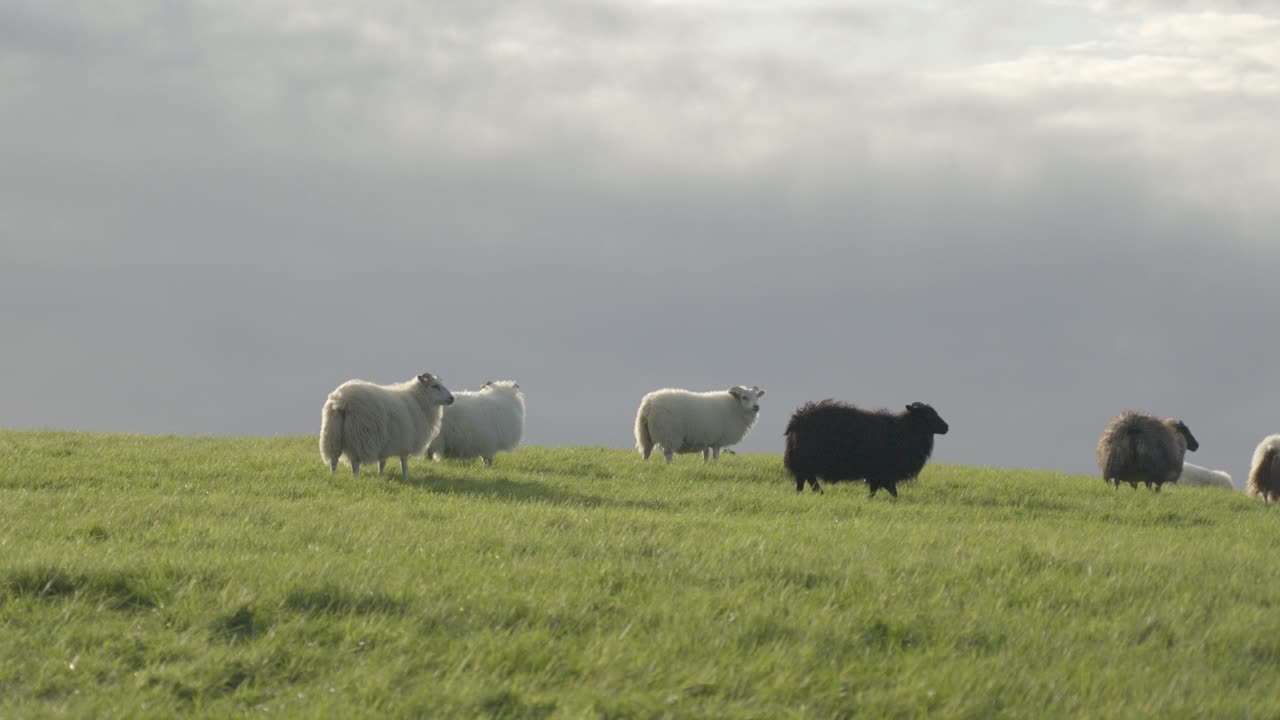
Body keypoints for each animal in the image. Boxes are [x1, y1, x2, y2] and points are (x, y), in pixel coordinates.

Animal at [319, 372, 455, 479]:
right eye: (435, 386)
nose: (452, 398)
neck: (418, 400)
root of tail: (342, 399)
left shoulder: (385, 443)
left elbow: (382, 462)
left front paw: (380, 475)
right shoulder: (405, 441)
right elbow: (404, 463)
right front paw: (405, 478)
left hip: (333, 435)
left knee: (334, 460)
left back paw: (333, 476)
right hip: (358, 437)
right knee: (355, 463)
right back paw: (355, 478)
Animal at [634, 386, 765, 464]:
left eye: (757, 396)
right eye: (744, 397)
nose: (756, 407)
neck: (735, 407)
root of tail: (649, 402)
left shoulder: (705, 439)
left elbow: (705, 455)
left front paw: (704, 465)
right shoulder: (717, 440)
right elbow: (715, 455)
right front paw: (715, 466)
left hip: (645, 433)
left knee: (646, 451)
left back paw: (645, 463)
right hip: (669, 434)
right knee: (668, 454)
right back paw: (669, 465)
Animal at [783, 400, 949, 497]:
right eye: (928, 414)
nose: (946, 427)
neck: (905, 430)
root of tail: (797, 419)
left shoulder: (878, 474)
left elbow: (881, 491)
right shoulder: (883, 472)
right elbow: (889, 491)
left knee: (803, 480)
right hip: (806, 459)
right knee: (809, 478)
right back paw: (820, 493)